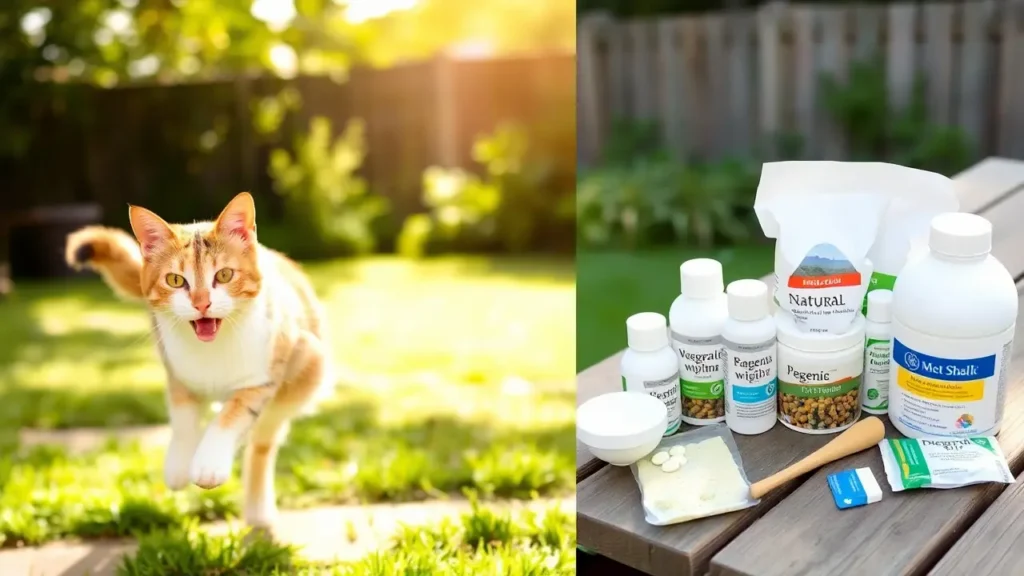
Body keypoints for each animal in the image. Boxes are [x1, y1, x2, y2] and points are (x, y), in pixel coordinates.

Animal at [62, 191, 331, 524]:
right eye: (176, 280)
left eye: (224, 275)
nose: (202, 303)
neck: (212, 350)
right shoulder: (176, 371)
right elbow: (182, 418)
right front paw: (179, 465)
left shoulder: (265, 374)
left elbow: (234, 415)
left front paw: (209, 463)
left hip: (308, 369)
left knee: (262, 441)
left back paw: (258, 510)